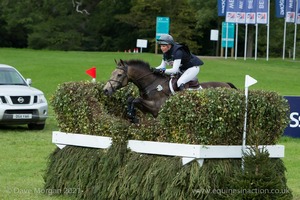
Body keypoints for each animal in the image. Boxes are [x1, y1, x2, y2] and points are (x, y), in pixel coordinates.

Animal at [103, 59, 237, 122]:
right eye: (112, 73)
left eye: (119, 75)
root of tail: (227, 85)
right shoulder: (147, 108)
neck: (152, 84)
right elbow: (131, 99)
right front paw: (132, 116)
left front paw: (133, 117)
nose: (105, 90)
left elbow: (136, 100)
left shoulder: (156, 108)